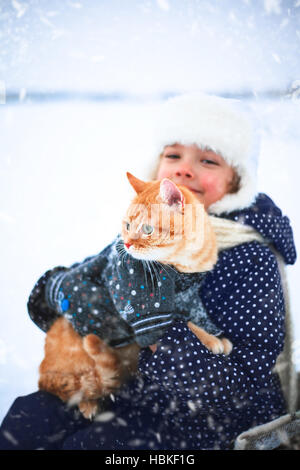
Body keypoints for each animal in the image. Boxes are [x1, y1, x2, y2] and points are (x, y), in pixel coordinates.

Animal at [39, 173, 232, 418]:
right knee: (80, 386)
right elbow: (184, 324)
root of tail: (42, 370)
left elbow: (195, 319)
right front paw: (211, 340)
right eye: (128, 225)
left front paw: (215, 336)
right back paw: (88, 404)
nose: (127, 243)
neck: (183, 266)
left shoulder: (190, 298)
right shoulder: (146, 309)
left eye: (148, 229)